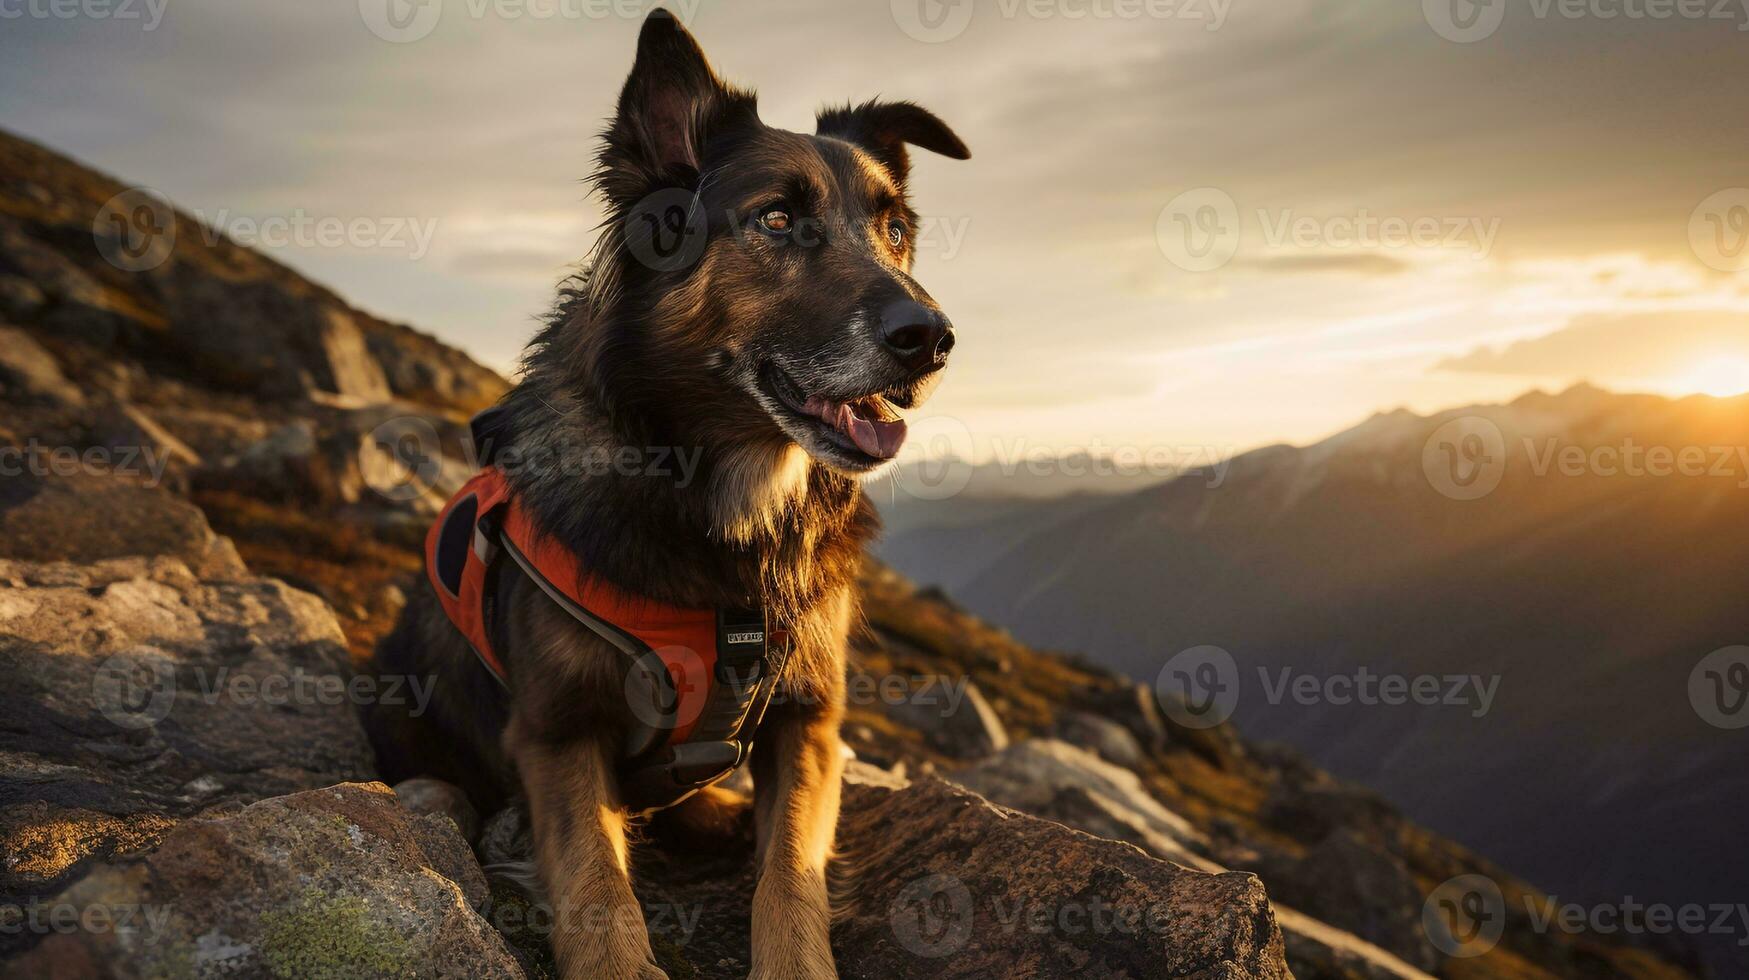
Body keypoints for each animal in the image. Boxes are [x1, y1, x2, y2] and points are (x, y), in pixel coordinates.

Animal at [365, 9, 972, 980]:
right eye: (777, 219)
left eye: (894, 229)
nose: (934, 337)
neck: (721, 498)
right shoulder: (556, 732)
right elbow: (595, 882)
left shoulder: (809, 720)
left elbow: (790, 872)